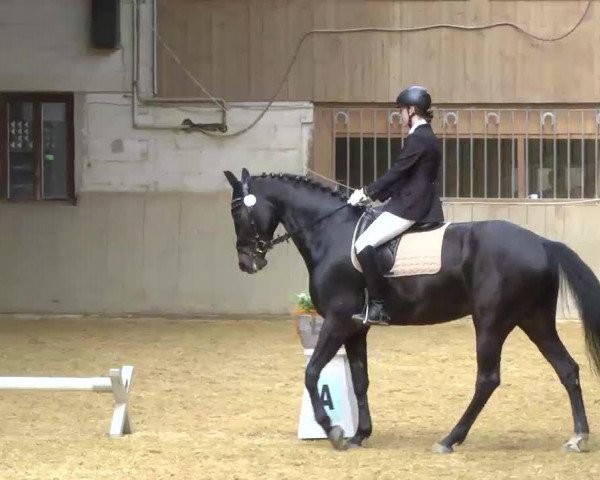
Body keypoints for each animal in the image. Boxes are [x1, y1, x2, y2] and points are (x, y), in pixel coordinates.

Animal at [224, 169, 600, 454]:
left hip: (491, 322)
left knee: (488, 379)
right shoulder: (357, 327)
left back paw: (450, 439)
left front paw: (333, 431)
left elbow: (312, 372)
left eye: (238, 212)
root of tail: (542, 242)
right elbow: (360, 380)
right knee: (567, 368)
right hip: (534, 320)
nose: (246, 262)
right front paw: (360, 434)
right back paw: (578, 437)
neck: (330, 233)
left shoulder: (337, 321)